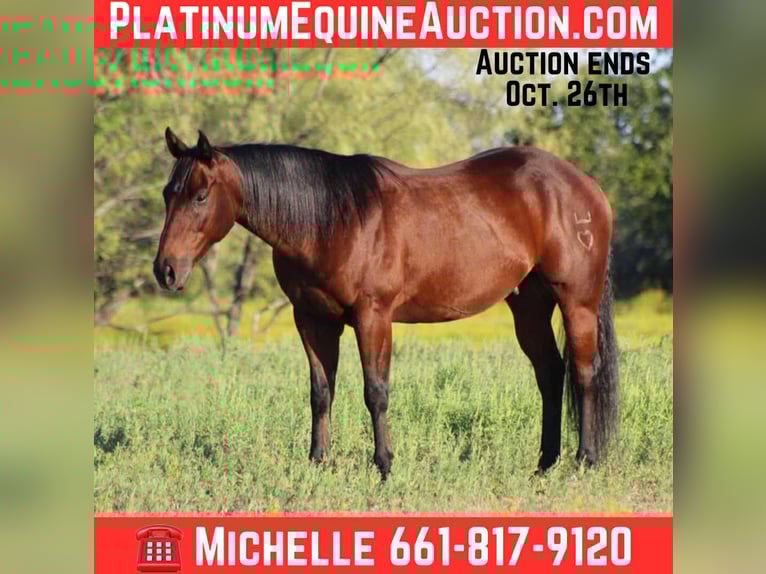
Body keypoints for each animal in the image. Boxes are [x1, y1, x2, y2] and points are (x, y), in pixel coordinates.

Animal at [153, 128, 619, 480]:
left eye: (200, 196)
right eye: (166, 194)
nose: (166, 271)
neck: (331, 220)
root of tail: (587, 185)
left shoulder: (373, 316)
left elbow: (375, 391)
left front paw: (383, 464)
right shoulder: (312, 320)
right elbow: (320, 392)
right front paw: (318, 461)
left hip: (577, 300)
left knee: (582, 373)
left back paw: (585, 461)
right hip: (529, 305)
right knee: (550, 373)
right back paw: (545, 464)